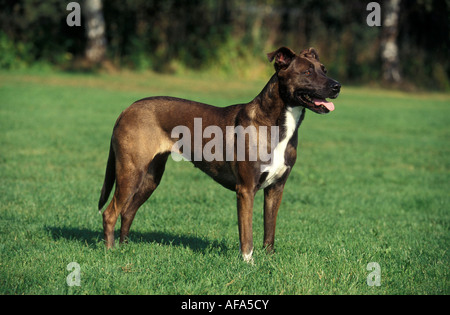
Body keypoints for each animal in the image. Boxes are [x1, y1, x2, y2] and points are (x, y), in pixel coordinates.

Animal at [98, 47, 342, 262]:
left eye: (324, 69)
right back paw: (111, 253)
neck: (275, 124)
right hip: (130, 172)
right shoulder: (245, 190)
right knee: (110, 213)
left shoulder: (276, 188)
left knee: (127, 211)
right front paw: (248, 263)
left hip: (150, 178)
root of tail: (127, 110)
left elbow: (269, 231)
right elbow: (247, 234)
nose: (337, 86)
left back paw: (125, 248)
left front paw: (270, 260)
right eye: (307, 72)